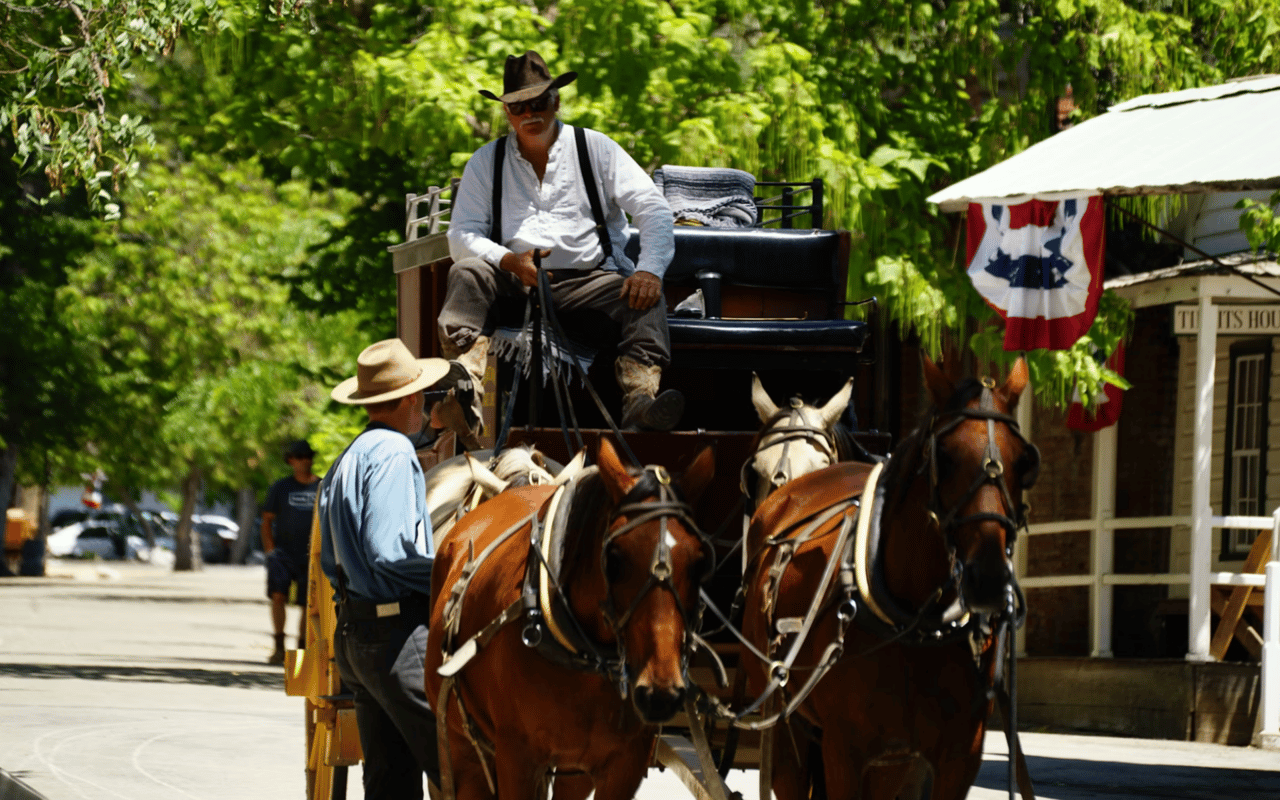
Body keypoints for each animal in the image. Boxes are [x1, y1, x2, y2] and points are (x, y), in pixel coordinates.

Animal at [424, 437, 716, 798]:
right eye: (614, 559)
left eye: (700, 562)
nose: (660, 693)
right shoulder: (516, 758)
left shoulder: (622, 766)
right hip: (461, 744)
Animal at [742, 358, 1039, 798]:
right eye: (944, 456)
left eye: (1023, 461)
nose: (986, 578)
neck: (915, 621)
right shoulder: (843, 750)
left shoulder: (958, 757)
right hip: (788, 725)